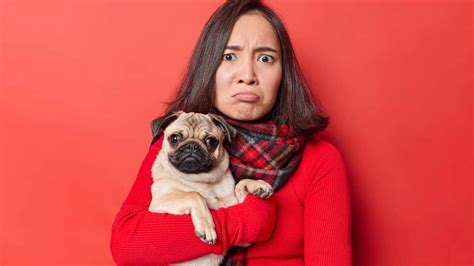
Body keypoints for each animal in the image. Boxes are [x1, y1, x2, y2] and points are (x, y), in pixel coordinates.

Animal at [148, 111, 274, 264]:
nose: (192, 146)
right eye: (174, 138)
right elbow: (193, 195)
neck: (201, 180)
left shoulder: (243, 239)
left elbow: (240, 185)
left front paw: (258, 186)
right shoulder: (158, 202)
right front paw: (206, 226)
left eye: (211, 141)